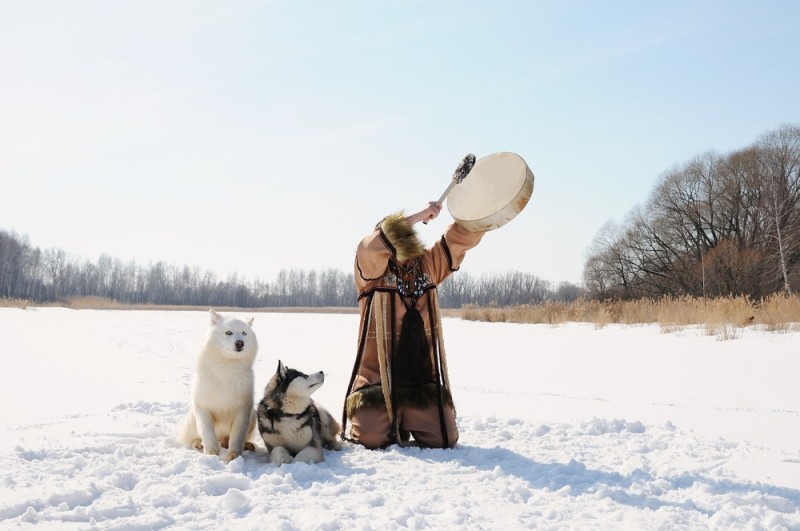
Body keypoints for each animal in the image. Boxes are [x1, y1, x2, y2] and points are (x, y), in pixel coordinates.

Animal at [178, 310, 260, 464]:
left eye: (244, 333)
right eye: (228, 332)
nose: (240, 343)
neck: (227, 367)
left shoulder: (243, 410)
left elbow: (237, 436)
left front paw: (233, 455)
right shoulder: (203, 407)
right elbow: (208, 432)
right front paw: (211, 454)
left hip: (253, 416)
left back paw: (245, 444)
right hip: (192, 419)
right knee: (193, 437)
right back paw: (198, 443)